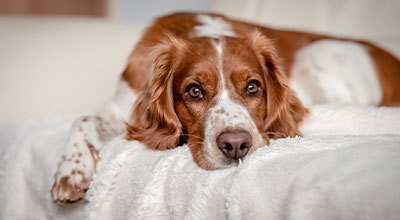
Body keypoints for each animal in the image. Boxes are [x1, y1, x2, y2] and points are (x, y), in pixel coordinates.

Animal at [50, 12, 400, 203]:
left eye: (252, 87)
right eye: (194, 91)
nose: (236, 145)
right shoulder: (121, 110)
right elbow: (83, 120)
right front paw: (71, 172)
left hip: (320, 54)